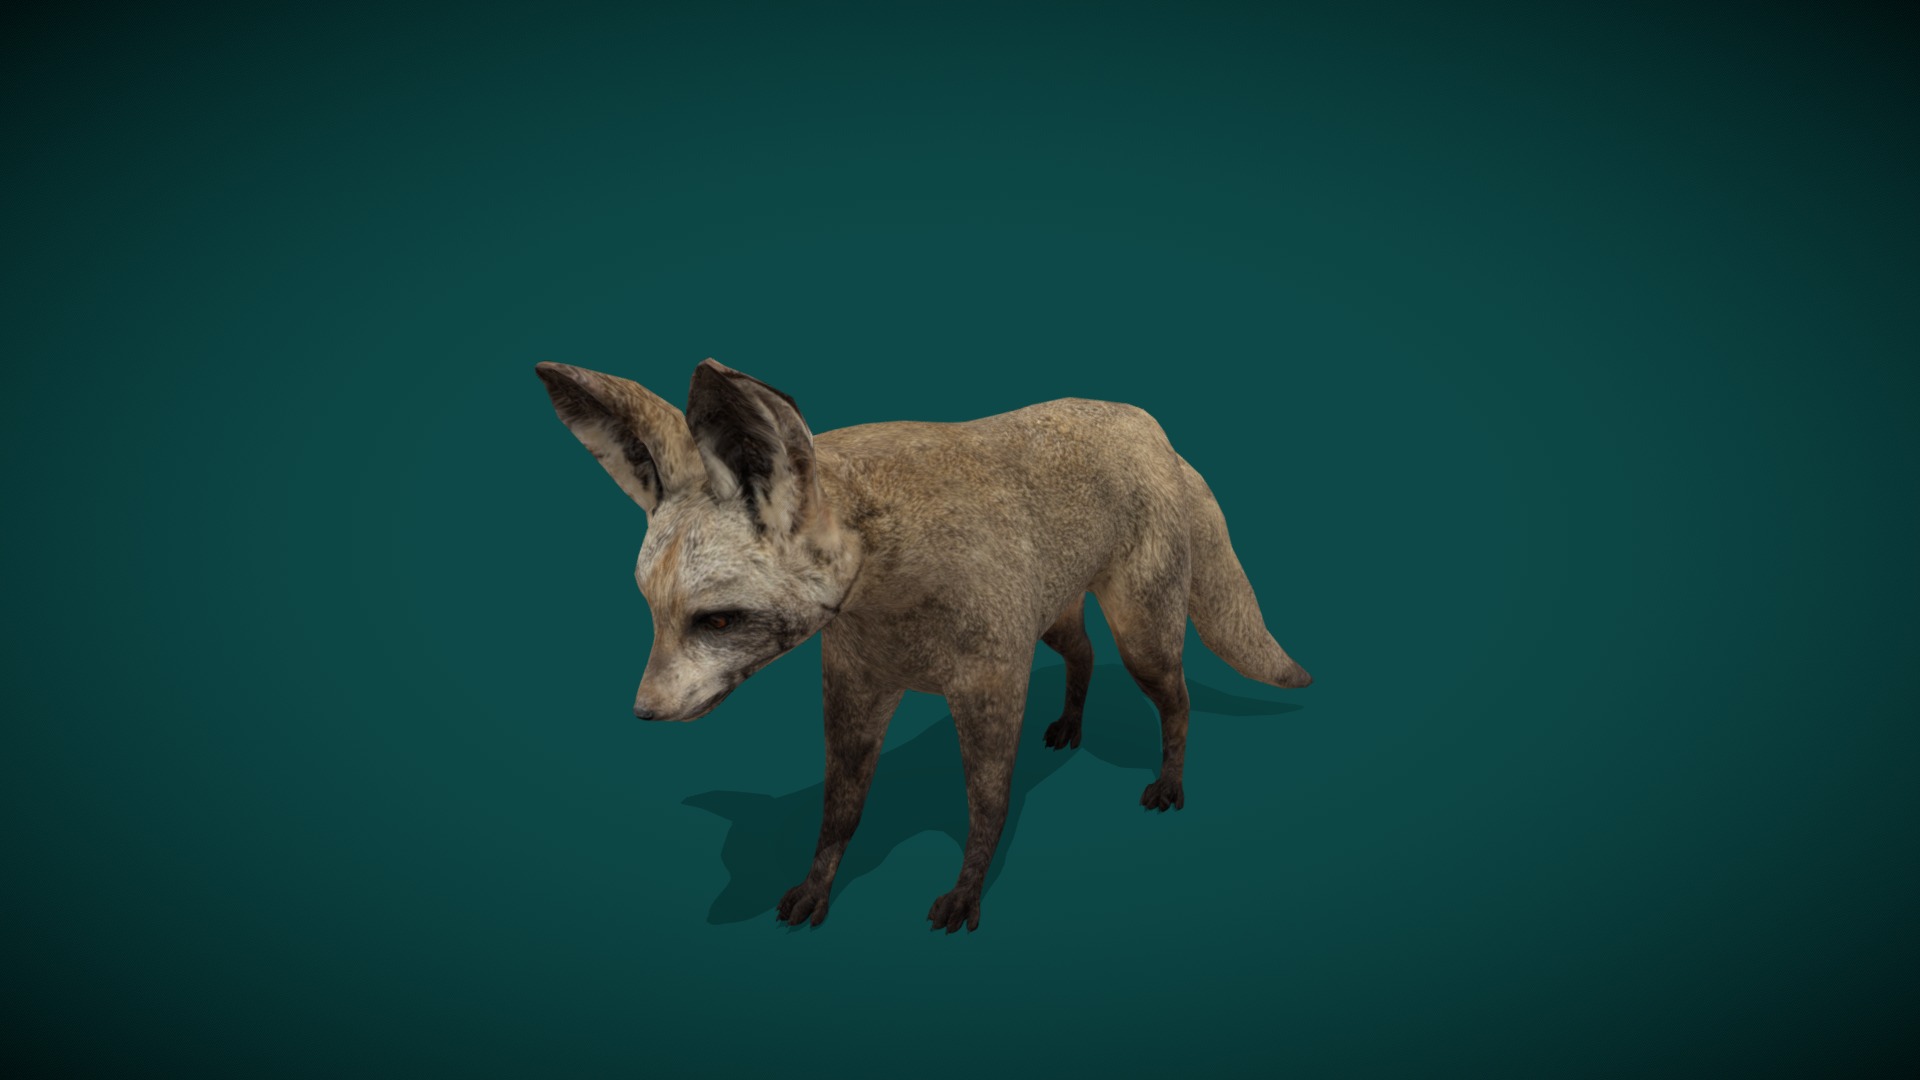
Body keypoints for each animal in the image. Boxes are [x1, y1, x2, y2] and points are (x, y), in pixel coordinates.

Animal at [535, 358, 1312, 933]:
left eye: (717, 621)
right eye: (653, 614)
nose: (643, 712)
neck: (888, 603)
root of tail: (1147, 424)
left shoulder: (990, 687)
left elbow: (987, 807)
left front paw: (968, 892)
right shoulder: (858, 688)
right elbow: (840, 811)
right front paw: (818, 885)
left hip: (1141, 633)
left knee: (1175, 701)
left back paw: (1171, 780)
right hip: (1051, 614)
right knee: (1083, 654)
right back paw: (1070, 724)